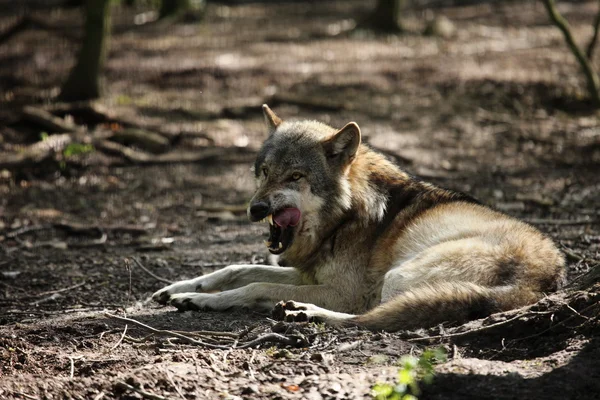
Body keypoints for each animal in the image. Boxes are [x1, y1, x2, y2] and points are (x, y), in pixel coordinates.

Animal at [152, 104, 564, 330]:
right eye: (265, 172)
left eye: (295, 177)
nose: (256, 210)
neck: (346, 217)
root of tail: (545, 276)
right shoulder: (309, 272)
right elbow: (237, 269)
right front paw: (180, 289)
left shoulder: (345, 290)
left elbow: (255, 285)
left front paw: (200, 300)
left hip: (397, 278)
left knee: (369, 319)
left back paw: (304, 313)